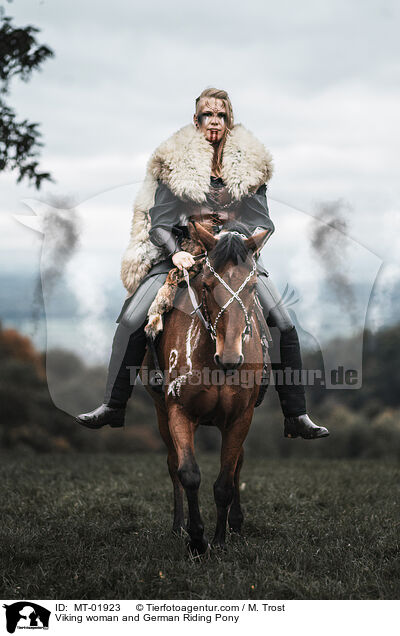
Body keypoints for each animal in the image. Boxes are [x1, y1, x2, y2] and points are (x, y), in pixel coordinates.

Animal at [144, 222, 268, 552]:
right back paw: (179, 526)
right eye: (208, 285)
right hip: (161, 414)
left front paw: (220, 539)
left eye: (252, 287)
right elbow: (187, 473)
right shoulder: (179, 411)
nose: (230, 358)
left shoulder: (240, 418)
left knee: (237, 465)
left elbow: (226, 480)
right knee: (173, 463)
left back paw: (235, 524)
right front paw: (197, 540)